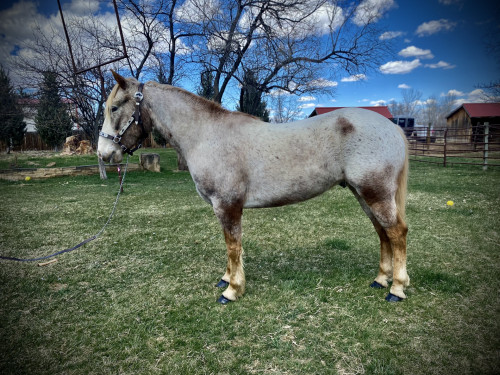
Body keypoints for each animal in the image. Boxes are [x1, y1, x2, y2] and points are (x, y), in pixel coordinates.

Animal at [97, 71, 410, 306]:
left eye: (115, 107)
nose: (104, 153)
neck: (207, 135)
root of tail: (392, 127)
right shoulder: (222, 208)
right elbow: (229, 247)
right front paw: (226, 279)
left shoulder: (228, 206)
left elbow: (233, 246)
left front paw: (232, 290)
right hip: (363, 194)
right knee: (382, 232)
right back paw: (381, 279)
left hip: (375, 193)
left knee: (396, 232)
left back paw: (396, 288)